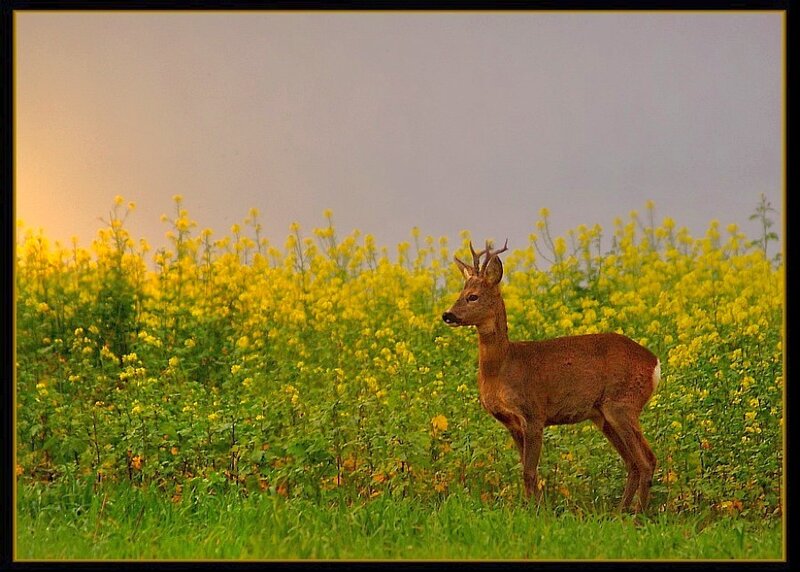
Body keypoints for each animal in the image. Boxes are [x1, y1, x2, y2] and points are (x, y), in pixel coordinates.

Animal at [441, 240, 660, 512]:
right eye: (459, 293)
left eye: (473, 296)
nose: (447, 315)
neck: (502, 367)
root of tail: (654, 363)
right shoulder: (512, 422)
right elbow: (527, 472)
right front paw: (533, 509)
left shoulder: (534, 413)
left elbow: (529, 472)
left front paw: (537, 513)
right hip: (603, 415)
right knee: (632, 462)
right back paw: (620, 514)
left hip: (623, 404)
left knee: (647, 460)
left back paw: (637, 515)